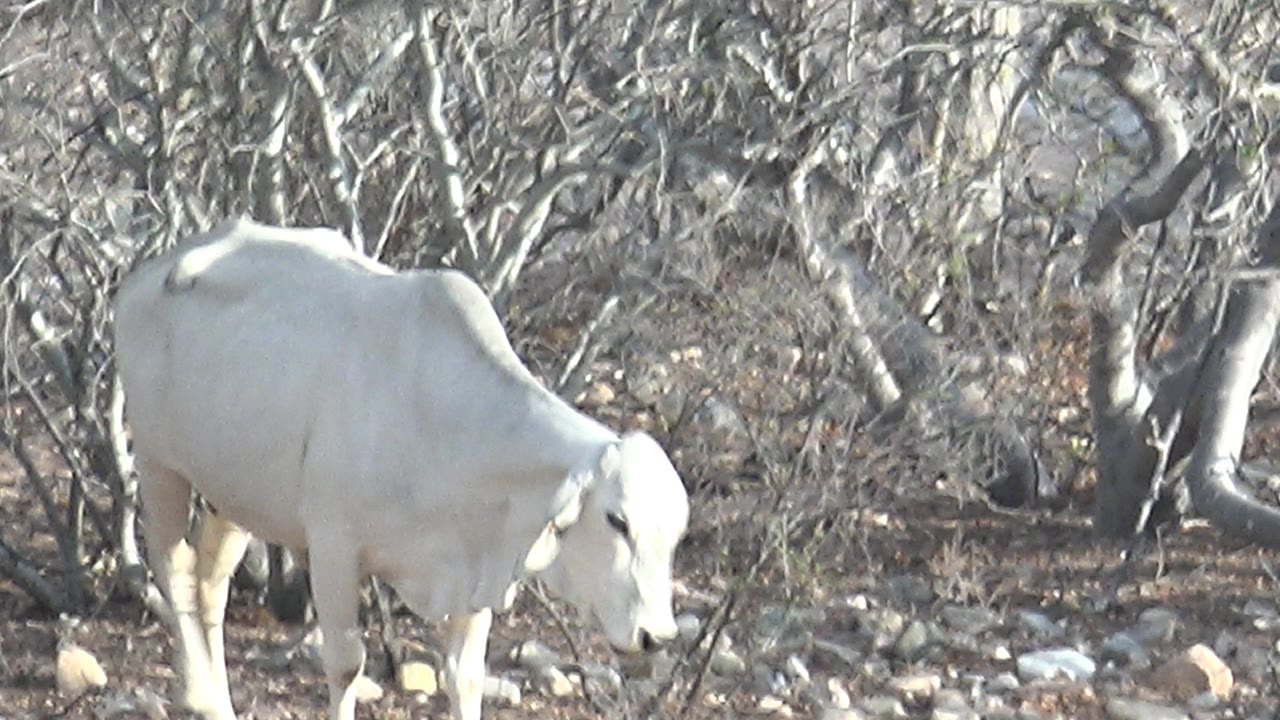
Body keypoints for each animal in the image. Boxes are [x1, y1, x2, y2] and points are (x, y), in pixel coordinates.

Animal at [113, 218, 690, 720]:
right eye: (618, 520)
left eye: (676, 533)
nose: (656, 636)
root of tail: (144, 277)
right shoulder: (333, 546)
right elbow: (346, 665)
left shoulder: (478, 563)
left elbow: (465, 675)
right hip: (159, 463)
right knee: (174, 567)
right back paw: (202, 696)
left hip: (230, 493)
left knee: (211, 580)